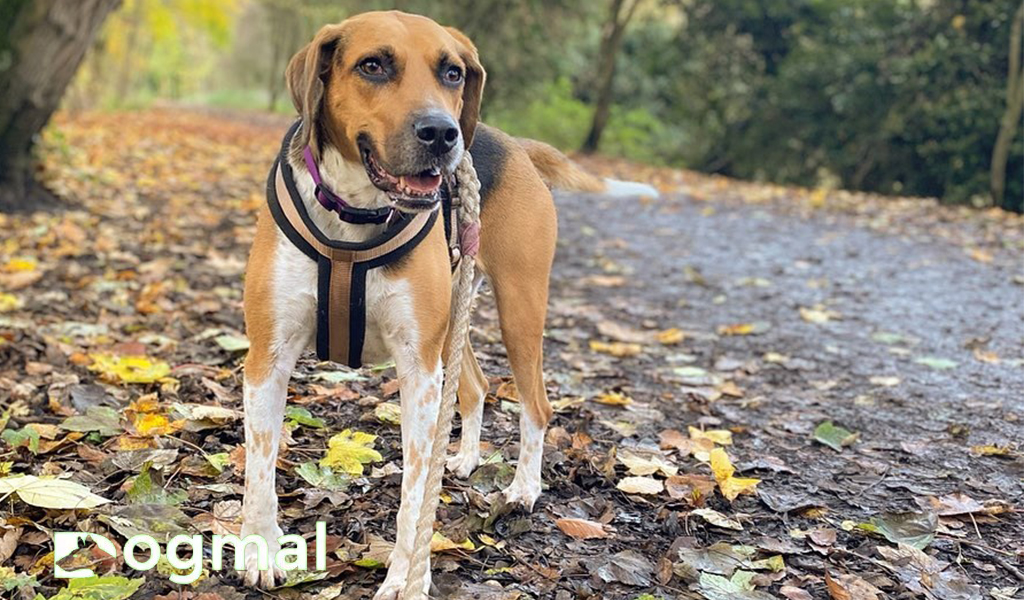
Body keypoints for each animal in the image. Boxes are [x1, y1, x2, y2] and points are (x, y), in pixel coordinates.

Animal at [239, 10, 655, 597]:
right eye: (373, 65)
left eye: (452, 72)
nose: (442, 134)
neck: (356, 215)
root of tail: (518, 146)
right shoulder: (267, 360)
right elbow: (260, 469)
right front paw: (260, 551)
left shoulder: (419, 371)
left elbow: (415, 496)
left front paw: (407, 578)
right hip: (456, 324)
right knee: (477, 387)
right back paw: (464, 458)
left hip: (518, 310)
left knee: (536, 406)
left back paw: (523, 490)